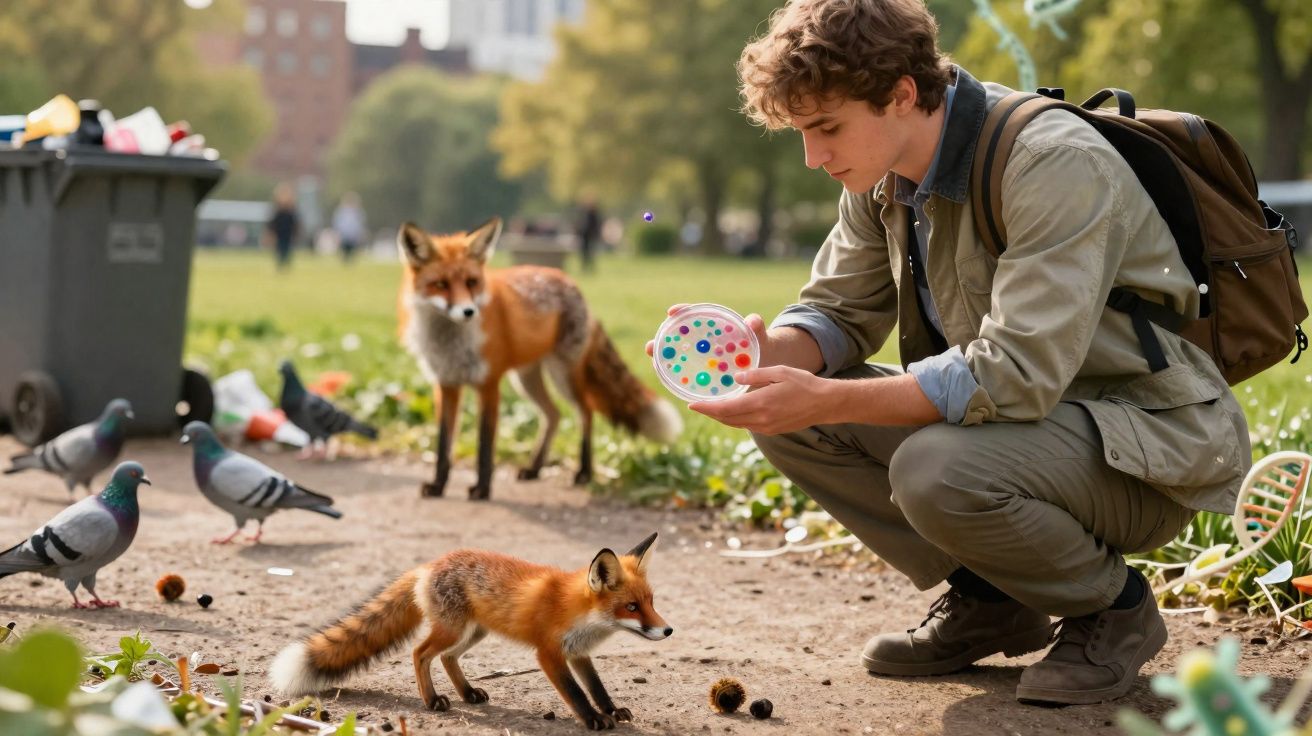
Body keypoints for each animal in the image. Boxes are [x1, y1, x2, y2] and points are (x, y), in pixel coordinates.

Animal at [270, 532, 672, 730]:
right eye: (631, 607)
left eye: (651, 601)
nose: (667, 630)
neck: (576, 609)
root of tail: (429, 564)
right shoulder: (549, 653)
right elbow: (575, 694)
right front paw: (592, 720)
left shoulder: (579, 654)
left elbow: (597, 688)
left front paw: (611, 710)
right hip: (453, 630)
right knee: (420, 653)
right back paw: (432, 700)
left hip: (473, 633)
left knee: (447, 658)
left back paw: (466, 693)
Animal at [396, 216, 681, 500]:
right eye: (441, 284)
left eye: (471, 282)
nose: (469, 311)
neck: (450, 343)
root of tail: (569, 282)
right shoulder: (446, 384)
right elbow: (443, 444)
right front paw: (438, 485)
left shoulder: (488, 384)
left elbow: (485, 444)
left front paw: (482, 488)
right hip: (526, 380)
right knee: (554, 414)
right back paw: (535, 468)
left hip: (562, 376)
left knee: (585, 412)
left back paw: (584, 472)